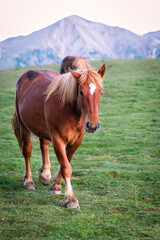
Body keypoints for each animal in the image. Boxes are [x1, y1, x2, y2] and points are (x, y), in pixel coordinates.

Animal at [12, 64, 105, 208]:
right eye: (81, 92)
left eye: (100, 93)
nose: (92, 125)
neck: (70, 111)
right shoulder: (58, 140)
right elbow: (66, 167)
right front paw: (71, 199)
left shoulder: (76, 142)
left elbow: (64, 163)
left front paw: (55, 186)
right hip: (24, 126)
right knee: (27, 151)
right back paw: (29, 182)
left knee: (44, 145)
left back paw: (45, 175)